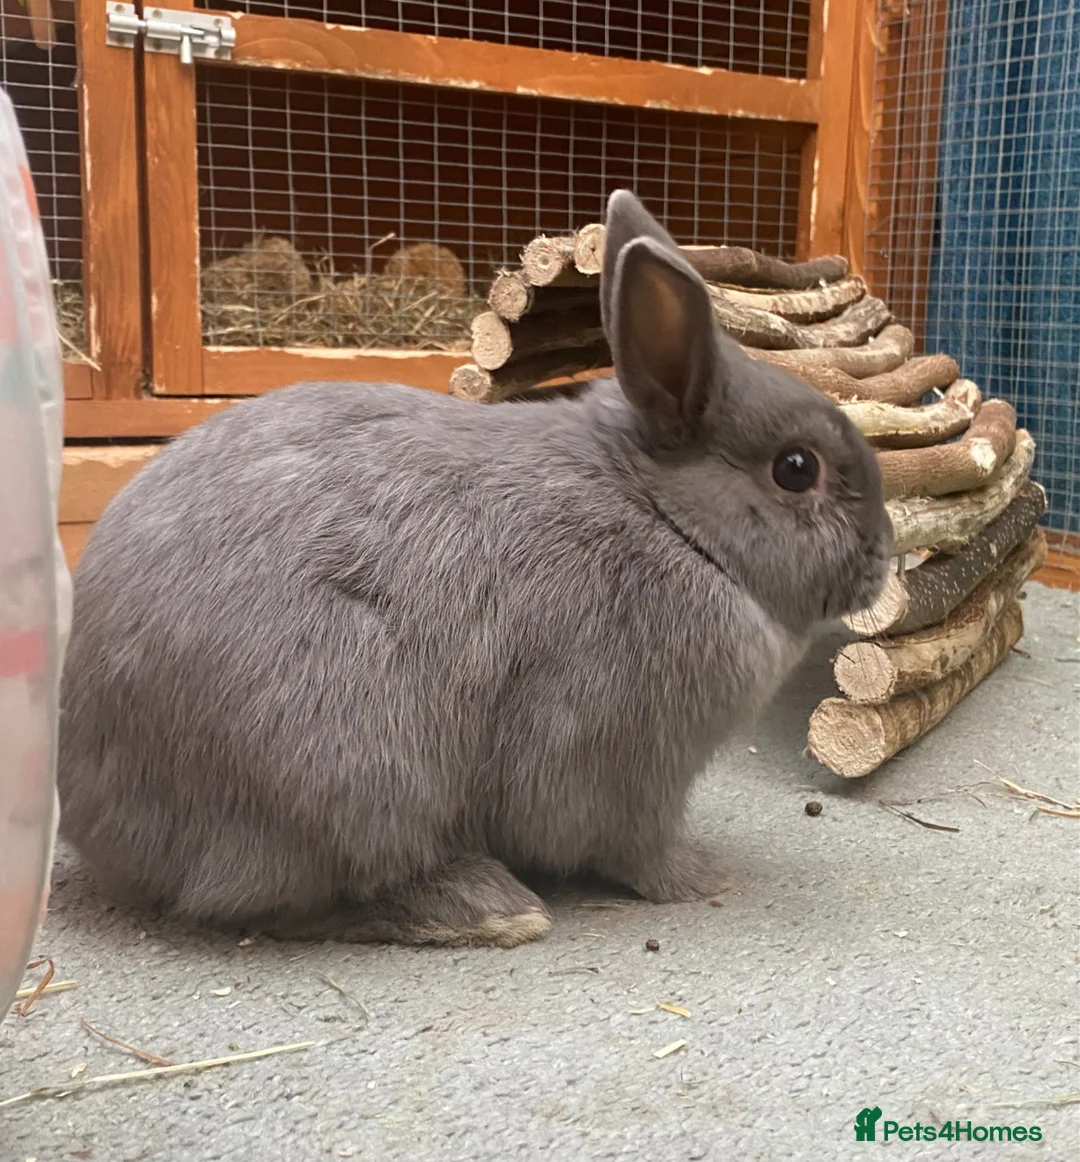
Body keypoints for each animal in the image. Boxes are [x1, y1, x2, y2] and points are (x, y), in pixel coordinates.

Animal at [57, 190, 892, 947]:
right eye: (795, 470)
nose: (882, 558)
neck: (670, 521)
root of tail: (89, 812)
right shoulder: (622, 761)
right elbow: (632, 845)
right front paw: (701, 880)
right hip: (347, 775)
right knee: (300, 899)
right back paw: (487, 909)